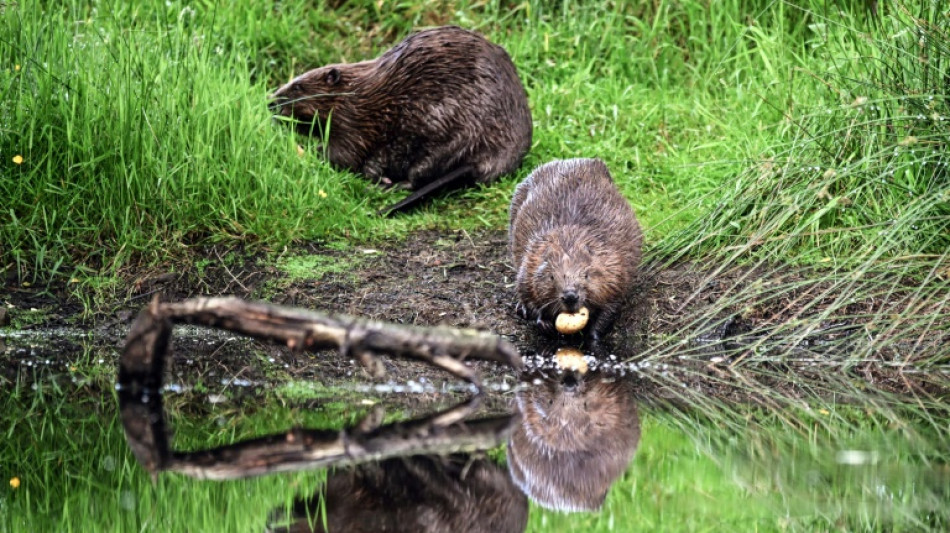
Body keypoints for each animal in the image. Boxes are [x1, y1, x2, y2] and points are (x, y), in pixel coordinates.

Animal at [272, 24, 536, 216]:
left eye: (297, 86)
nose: (270, 103)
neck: (355, 93)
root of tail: (487, 160)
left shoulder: (354, 122)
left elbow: (344, 154)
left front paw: (310, 151)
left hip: (443, 131)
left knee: (418, 176)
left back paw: (385, 185)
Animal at [510, 159, 644, 340]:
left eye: (586, 275)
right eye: (551, 277)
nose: (570, 296)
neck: (569, 243)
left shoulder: (615, 270)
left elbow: (611, 306)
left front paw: (592, 337)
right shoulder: (530, 261)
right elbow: (526, 292)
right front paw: (543, 323)